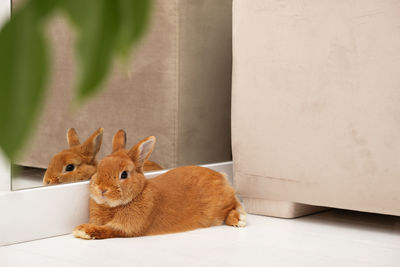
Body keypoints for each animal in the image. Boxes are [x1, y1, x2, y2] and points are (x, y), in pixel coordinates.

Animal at [73, 132, 245, 241]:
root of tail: (221, 177)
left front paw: (82, 230)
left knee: (234, 205)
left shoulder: (127, 227)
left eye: (124, 174)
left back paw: (239, 219)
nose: (102, 189)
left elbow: (108, 230)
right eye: (99, 168)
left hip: (219, 206)